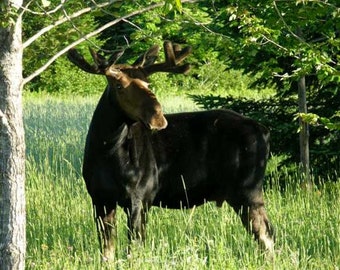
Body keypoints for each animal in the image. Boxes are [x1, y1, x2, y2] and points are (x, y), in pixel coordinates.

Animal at [67, 41, 274, 260]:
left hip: (248, 189)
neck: (107, 150)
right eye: (119, 86)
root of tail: (265, 131)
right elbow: (108, 252)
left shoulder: (140, 198)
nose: (157, 117)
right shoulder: (100, 198)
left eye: (148, 83)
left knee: (265, 233)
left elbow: (134, 249)